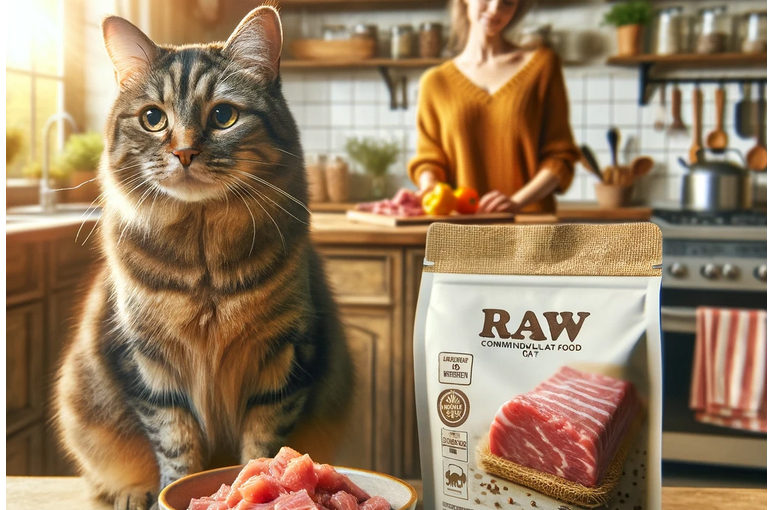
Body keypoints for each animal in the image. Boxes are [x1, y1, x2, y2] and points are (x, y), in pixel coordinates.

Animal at [55, 6, 352, 510]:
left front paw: (259, 480)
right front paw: (172, 490)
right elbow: (176, 446)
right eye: (153, 118)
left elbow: (263, 444)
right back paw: (133, 493)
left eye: (224, 116)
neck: (203, 262)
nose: (184, 152)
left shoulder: (284, 358)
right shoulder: (148, 364)